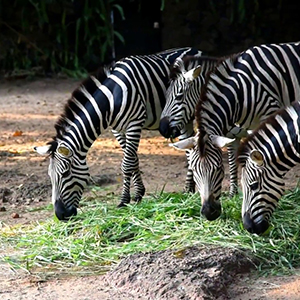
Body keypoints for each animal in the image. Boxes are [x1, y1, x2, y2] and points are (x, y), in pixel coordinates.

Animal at [34, 47, 202, 220]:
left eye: (66, 173)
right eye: (50, 176)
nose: (60, 215)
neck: (111, 98)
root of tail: (193, 48)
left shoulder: (134, 124)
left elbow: (126, 164)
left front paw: (124, 200)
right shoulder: (117, 129)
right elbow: (133, 160)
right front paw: (139, 193)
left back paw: (190, 190)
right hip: (183, 119)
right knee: (188, 146)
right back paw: (189, 189)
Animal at [159, 55, 248, 199]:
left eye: (179, 97)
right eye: (166, 96)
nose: (162, 128)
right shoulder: (229, 134)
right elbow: (231, 158)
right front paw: (233, 193)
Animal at [169, 41, 300, 220]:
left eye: (218, 168)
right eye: (195, 170)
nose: (209, 213)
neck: (241, 91)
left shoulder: (269, 116)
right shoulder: (234, 130)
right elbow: (237, 156)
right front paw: (234, 194)